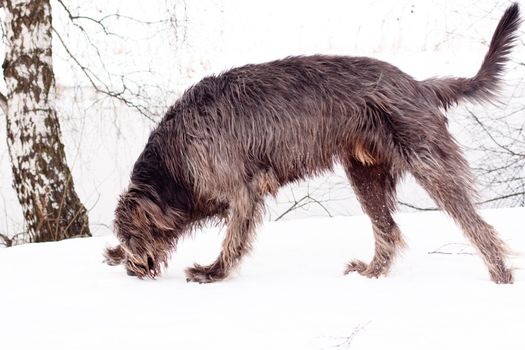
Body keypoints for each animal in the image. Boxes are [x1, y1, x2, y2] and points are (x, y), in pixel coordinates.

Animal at [104, 4, 516, 284]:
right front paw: (113, 254)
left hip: (430, 164)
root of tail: (419, 85)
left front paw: (213, 272)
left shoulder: (241, 191)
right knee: (388, 231)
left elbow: (233, 238)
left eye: (134, 233)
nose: (133, 269)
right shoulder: (204, 196)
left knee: (476, 225)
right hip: (365, 175)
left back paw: (500, 276)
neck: (175, 157)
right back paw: (371, 271)